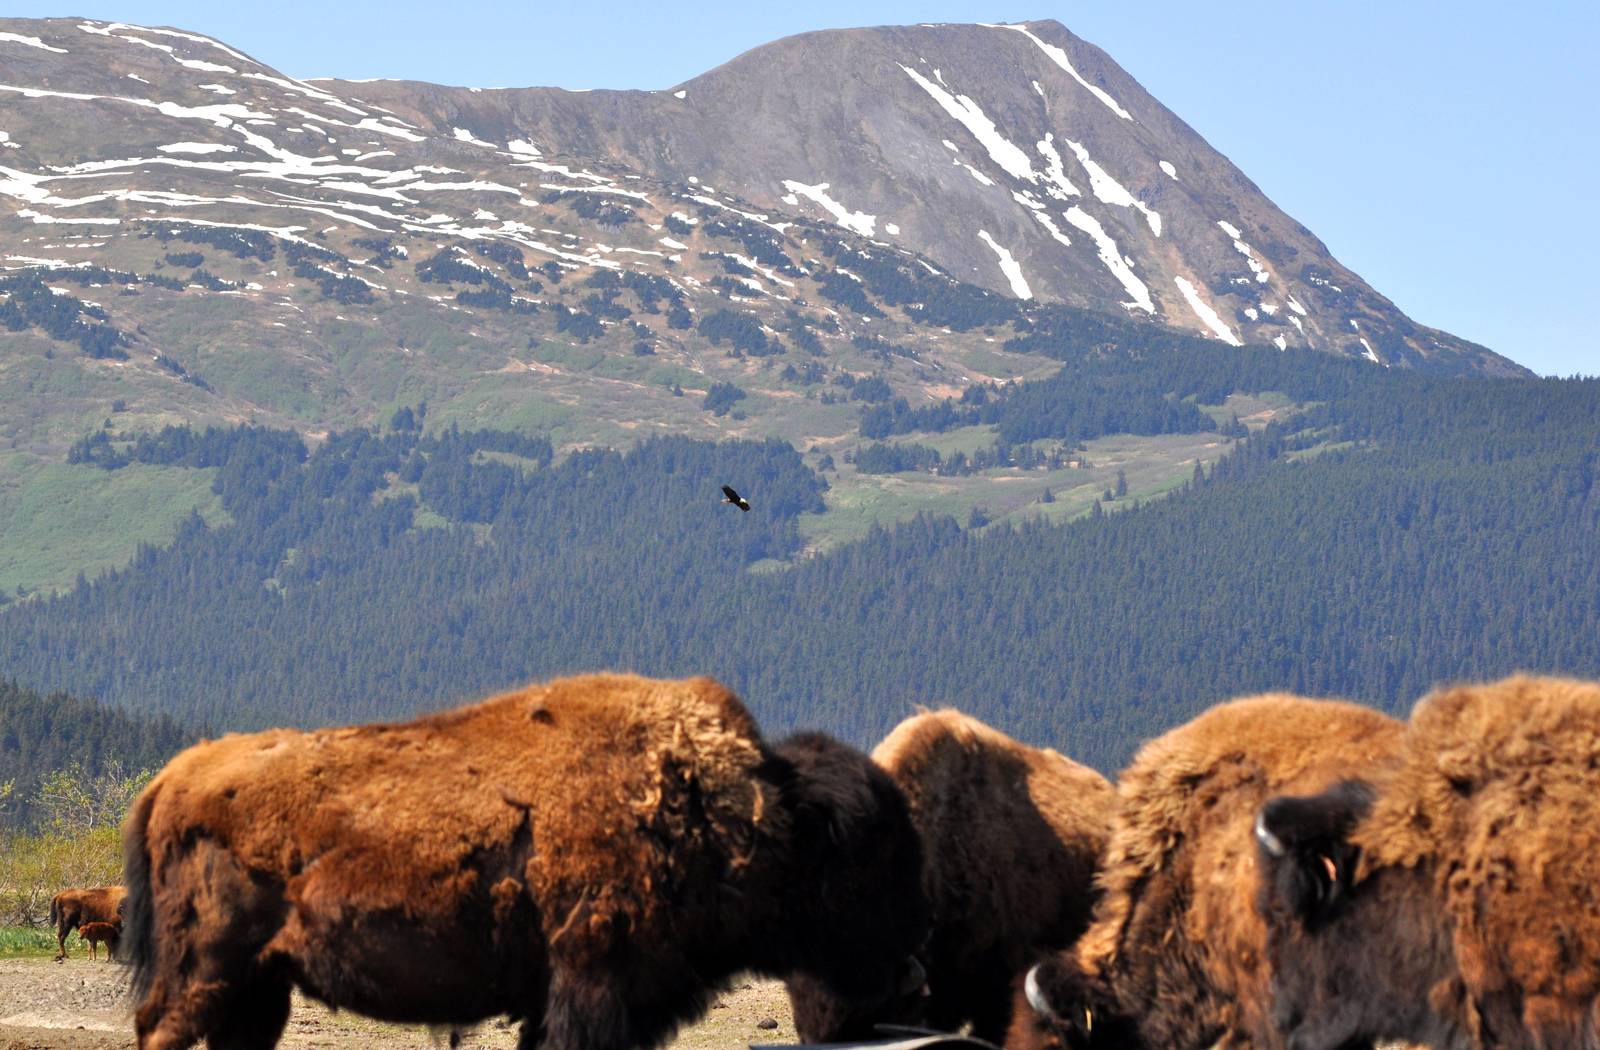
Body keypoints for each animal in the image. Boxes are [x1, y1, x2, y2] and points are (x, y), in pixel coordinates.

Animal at [122, 673, 927, 1050]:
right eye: (865, 857)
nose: (912, 975)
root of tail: (175, 775)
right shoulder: (592, 987)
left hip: (259, 987)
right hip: (205, 973)